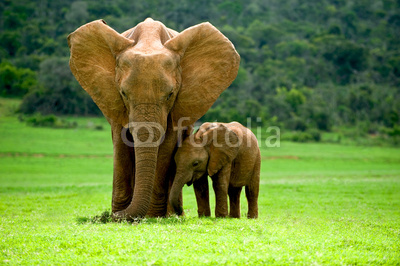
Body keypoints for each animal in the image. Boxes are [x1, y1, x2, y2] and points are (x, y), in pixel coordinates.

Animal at [68, 17, 241, 219]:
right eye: (124, 93)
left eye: (170, 95)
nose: (107, 217)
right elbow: (121, 145)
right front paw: (118, 215)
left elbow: (166, 147)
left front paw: (152, 216)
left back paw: (171, 215)